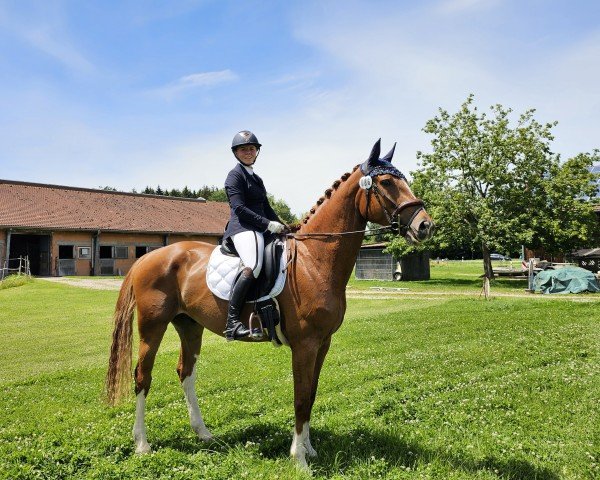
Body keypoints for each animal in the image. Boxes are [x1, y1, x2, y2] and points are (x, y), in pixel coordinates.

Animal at [103, 139, 432, 468]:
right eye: (386, 182)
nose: (425, 225)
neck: (314, 260)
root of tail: (148, 257)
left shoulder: (322, 343)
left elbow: (311, 394)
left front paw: (309, 449)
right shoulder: (304, 345)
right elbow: (301, 398)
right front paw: (299, 459)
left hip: (190, 326)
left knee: (186, 373)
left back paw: (204, 434)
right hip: (152, 327)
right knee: (142, 376)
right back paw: (142, 444)